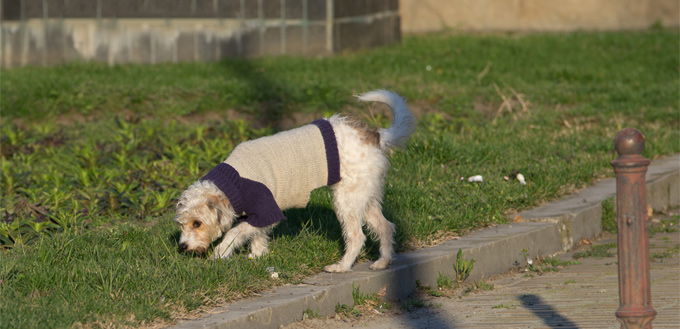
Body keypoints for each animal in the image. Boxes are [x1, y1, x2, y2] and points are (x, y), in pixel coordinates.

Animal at [174, 89, 414, 272]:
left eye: (197, 223)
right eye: (182, 224)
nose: (182, 247)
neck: (233, 182)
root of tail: (376, 135)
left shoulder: (265, 208)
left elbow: (236, 231)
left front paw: (221, 252)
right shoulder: (261, 214)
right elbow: (257, 235)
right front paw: (258, 256)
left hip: (347, 201)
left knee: (357, 237)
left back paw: (342, 267)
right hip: (365, 198)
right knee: (386, 227)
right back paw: (382, 262)